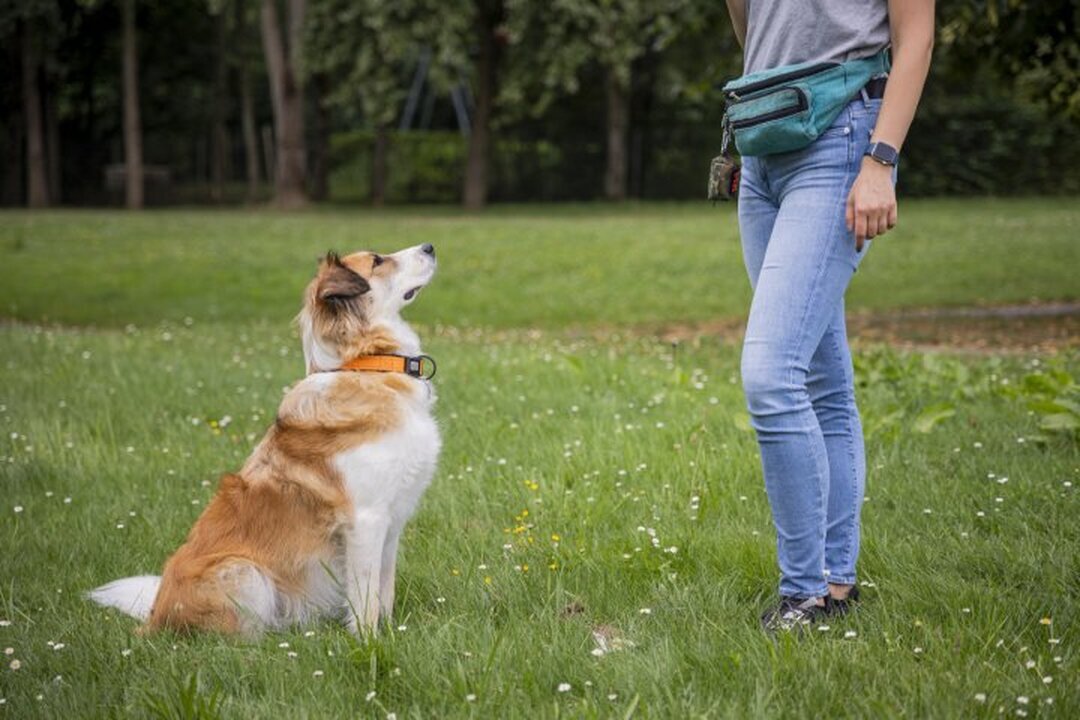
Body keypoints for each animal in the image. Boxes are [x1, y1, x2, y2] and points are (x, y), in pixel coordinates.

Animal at [89, 243, 438, 634]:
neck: (366, 365)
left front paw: (392, 632)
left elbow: (384, 588)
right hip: (246, 573)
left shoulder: (392, 521)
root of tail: (155, 616)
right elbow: (364, 597)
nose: (429, 247)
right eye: (378, 261)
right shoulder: (366, 519)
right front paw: (369, 641)